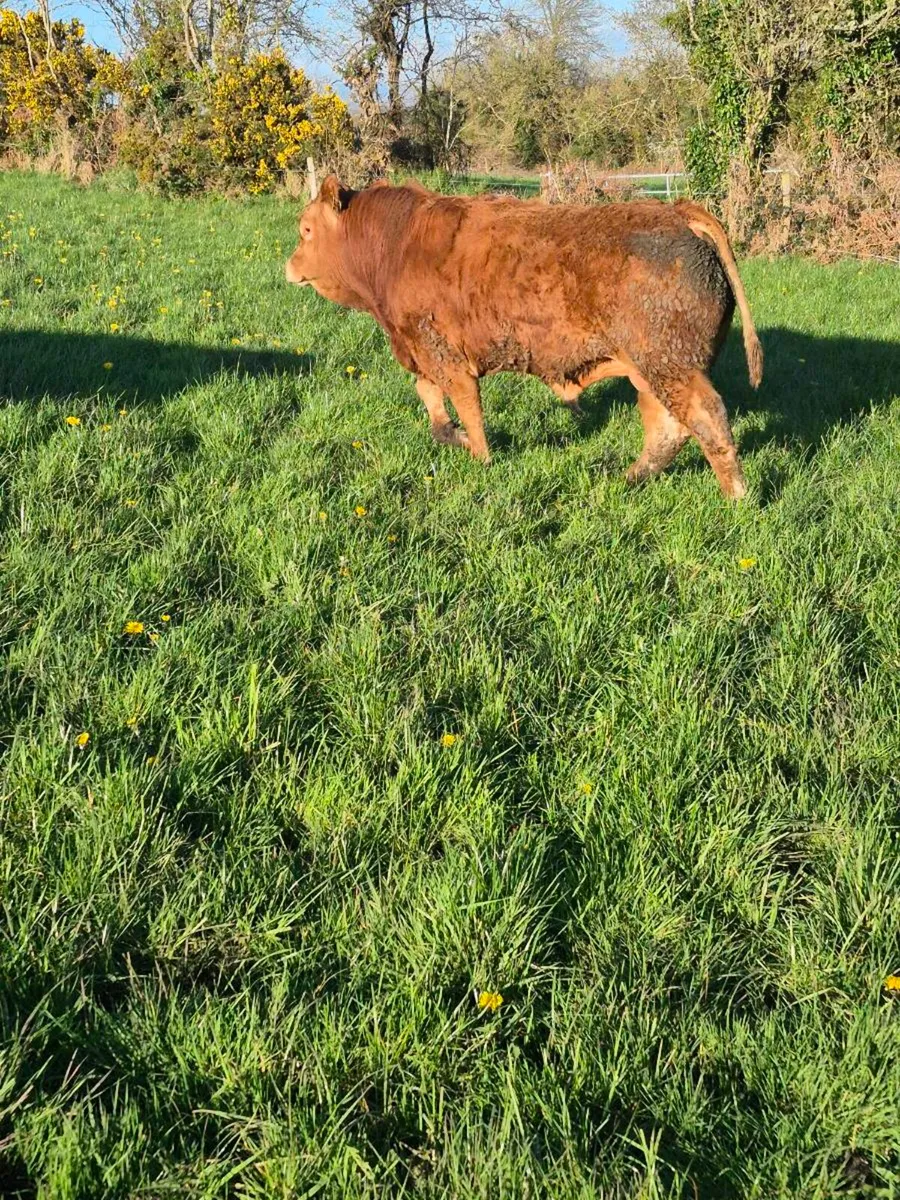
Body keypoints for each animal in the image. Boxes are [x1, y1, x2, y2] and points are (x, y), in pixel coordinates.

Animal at [285, 175, 763, 498]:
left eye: (305, 230)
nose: (289, 266)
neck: (397, 245)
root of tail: (676, 211)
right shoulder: (420, 351)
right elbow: (433, 407)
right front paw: (454, 438)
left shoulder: (445, 355)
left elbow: (467, 409)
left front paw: (480, 456)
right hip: (653, 368)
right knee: (667, 426)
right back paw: (630, 477)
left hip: (670, 364)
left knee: (707, 419)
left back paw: (736, 497)